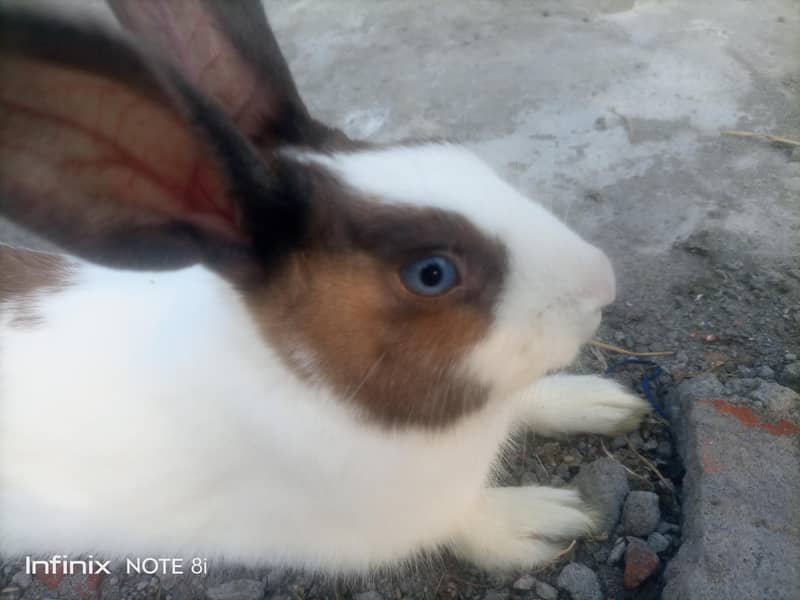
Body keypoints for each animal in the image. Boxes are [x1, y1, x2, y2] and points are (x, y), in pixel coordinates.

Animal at [0, 0, 649, 573]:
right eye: (431, 273)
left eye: (450, 151)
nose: (602, 282)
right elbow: (463, 520)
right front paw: (546, 522)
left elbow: (531, 395)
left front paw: (604, 401)